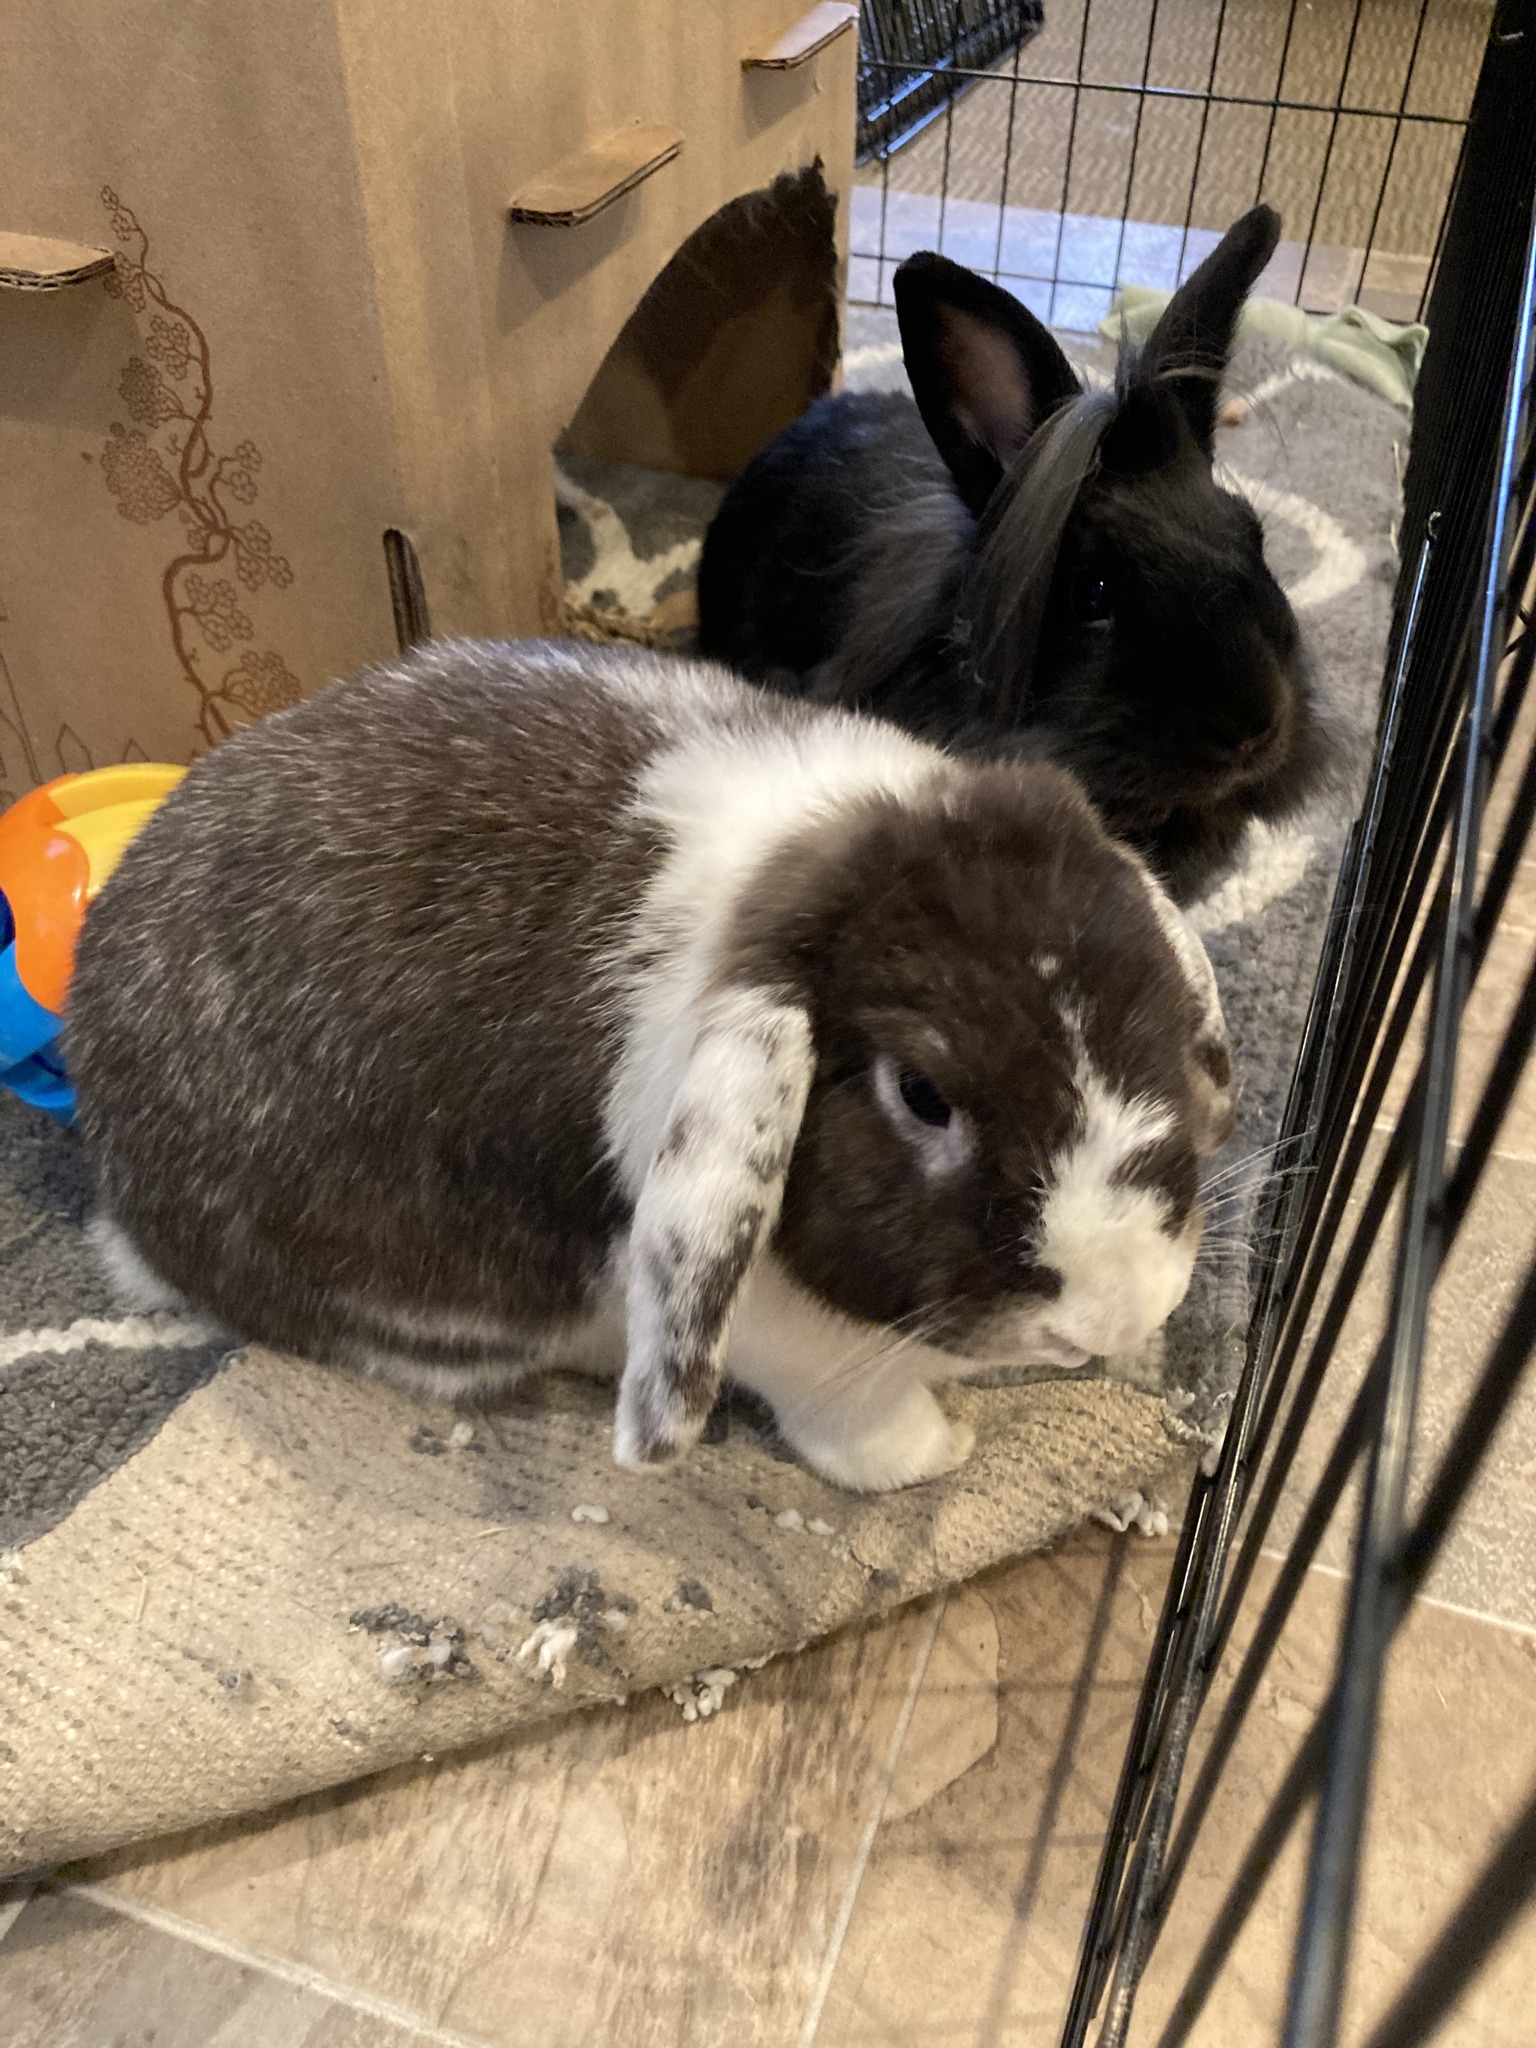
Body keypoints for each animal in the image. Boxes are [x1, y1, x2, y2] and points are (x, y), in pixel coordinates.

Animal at [67, 637, 1235, 1493]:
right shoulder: (807, 1360)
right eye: (920, 1094)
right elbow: (864, 1430)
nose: (1112, 1317)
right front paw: (941, 1454)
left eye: (1166, 1016)